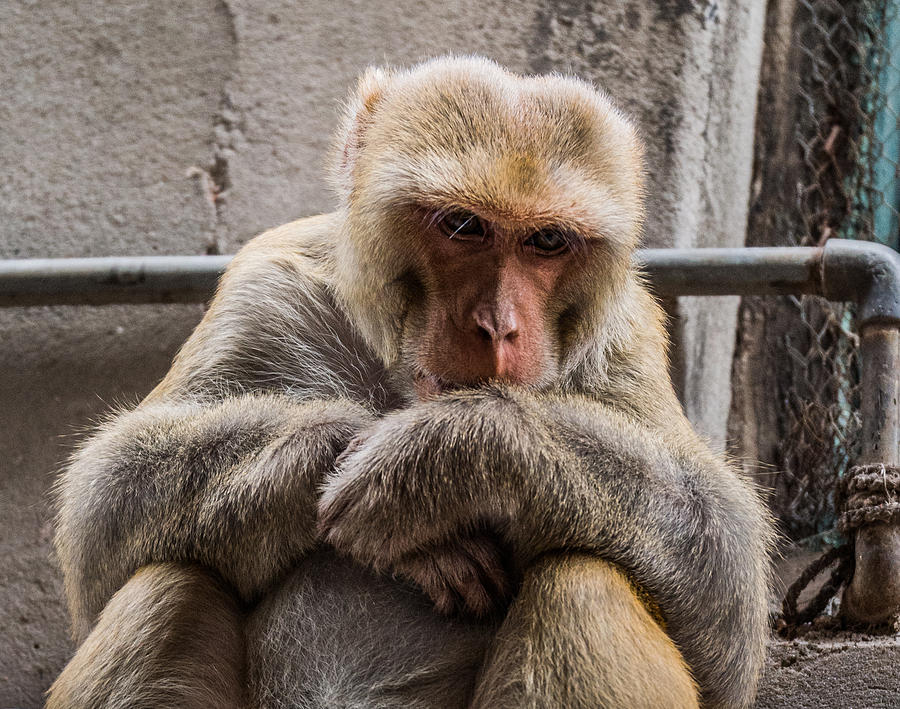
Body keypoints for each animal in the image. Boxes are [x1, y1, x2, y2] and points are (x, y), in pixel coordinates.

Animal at [45, 56, 768, 708]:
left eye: (548, 240)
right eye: (463, 225)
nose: (499, 326)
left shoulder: (626, 332)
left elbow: (726, 597)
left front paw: (445, 460)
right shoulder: (266, 282)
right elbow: (102, 509)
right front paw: (338, 453)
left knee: (584, 579)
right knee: (166, 580)